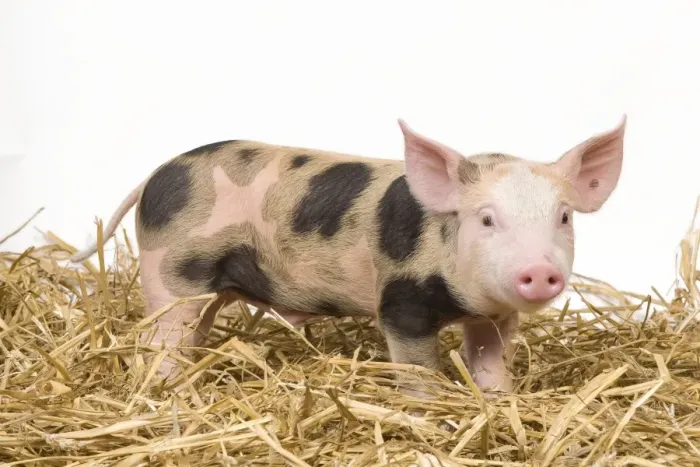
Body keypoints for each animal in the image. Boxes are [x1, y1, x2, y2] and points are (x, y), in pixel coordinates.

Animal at [70, 116, 627, 394]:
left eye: (564, 217)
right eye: (487, 219)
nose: (540, 271)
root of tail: (155, 175)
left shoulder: (494, 317)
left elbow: (489, 363)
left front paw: (499, 401)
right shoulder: (401, 304)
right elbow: (417, 369)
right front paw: (426, 412)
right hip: (170, 274)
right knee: (160, 340)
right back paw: (170, 393)